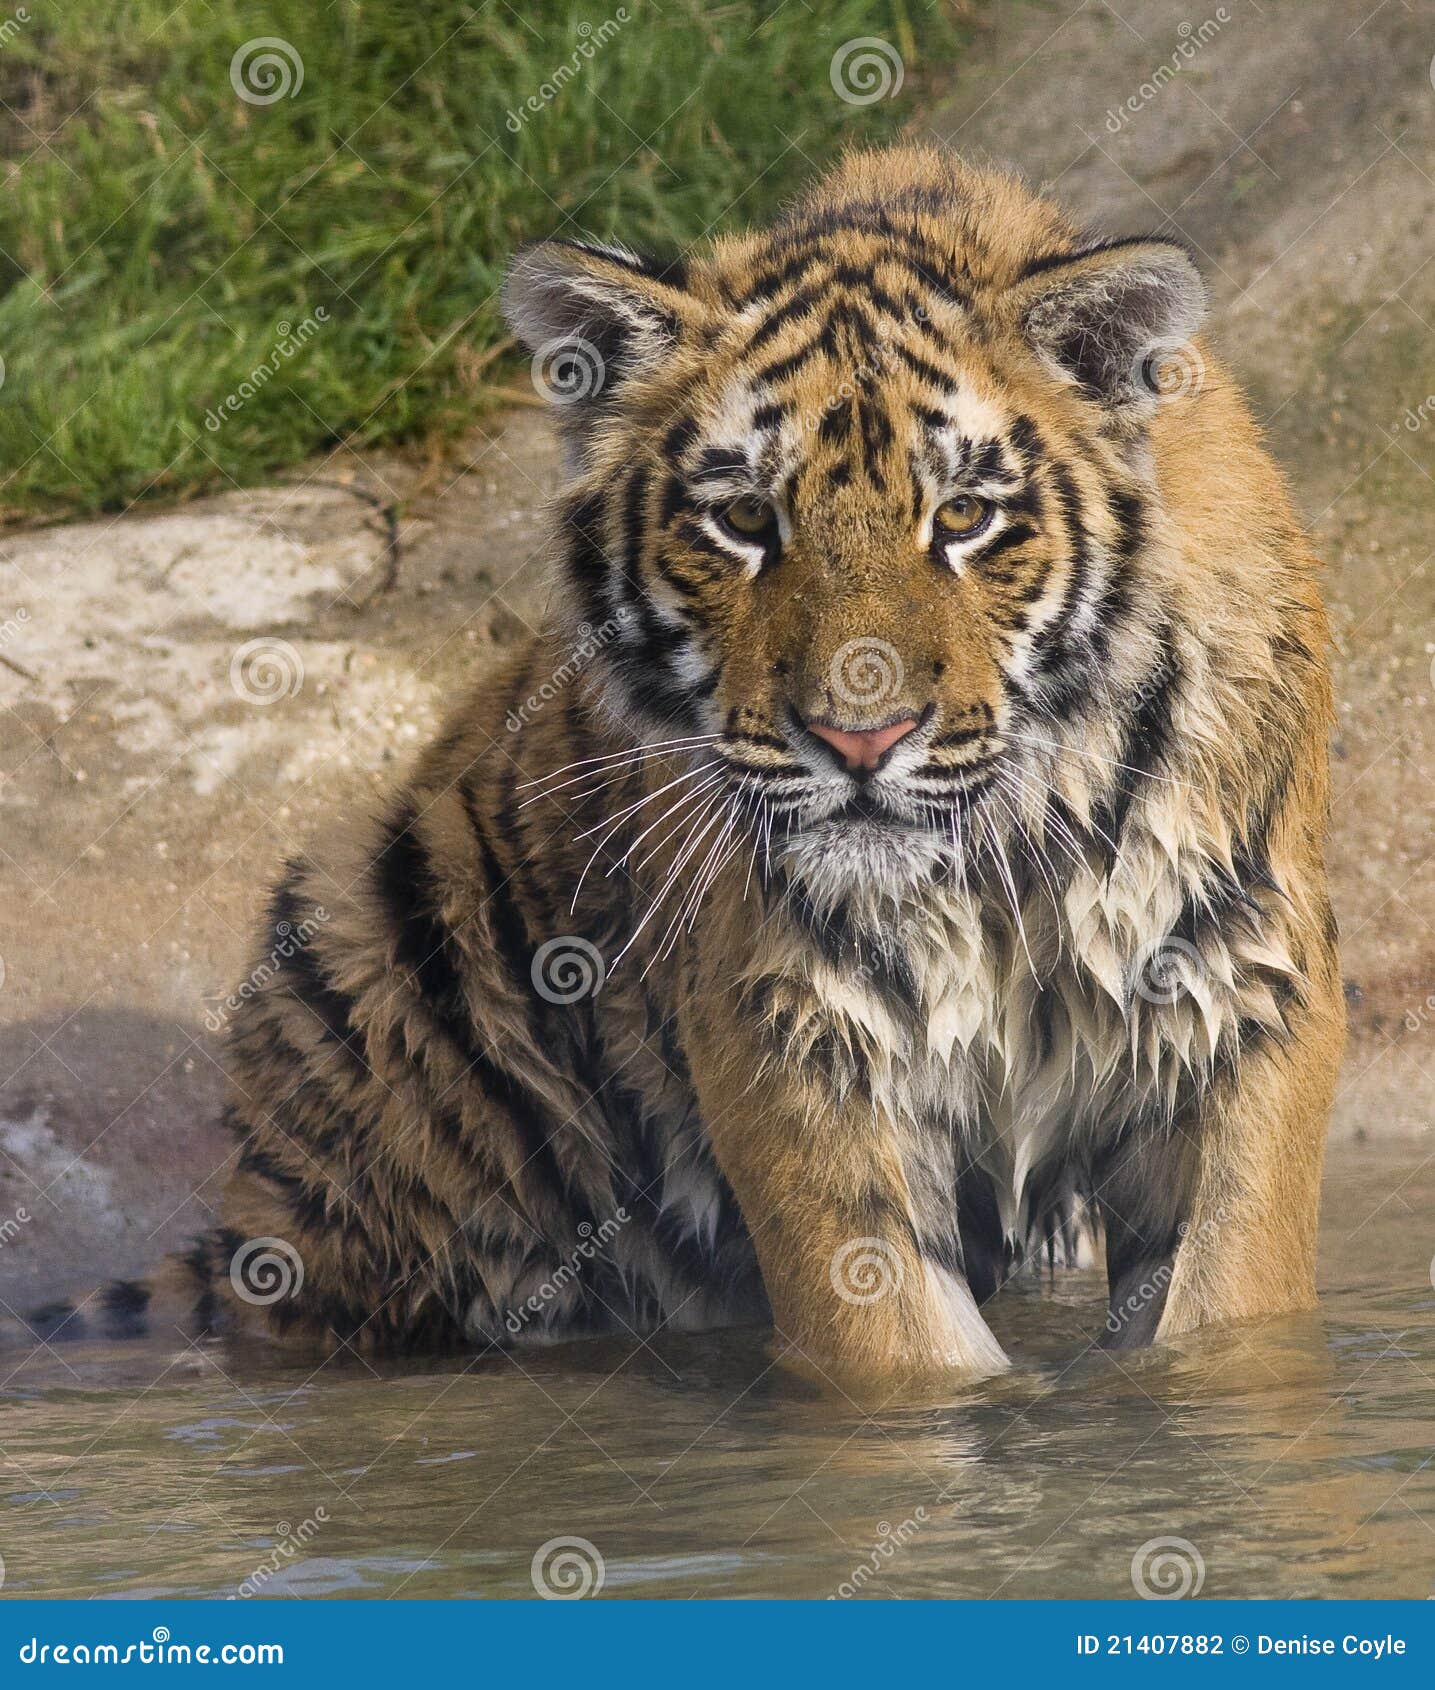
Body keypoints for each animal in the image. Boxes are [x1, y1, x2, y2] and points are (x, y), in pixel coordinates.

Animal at [22, 146, 1343, 1391]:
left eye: (964, 517)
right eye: (745, 522)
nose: (859, 741)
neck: (997, 872)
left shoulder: (1239, 991)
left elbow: (1227, 1311)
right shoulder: (788, 1028)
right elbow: (893, 1348)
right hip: (354, 923)